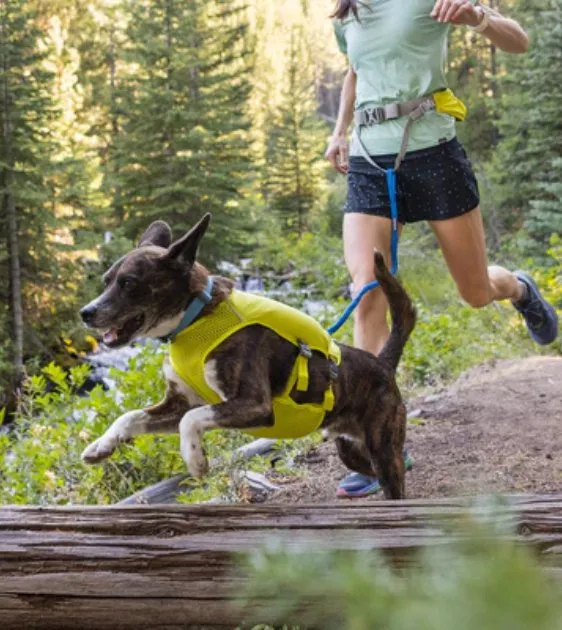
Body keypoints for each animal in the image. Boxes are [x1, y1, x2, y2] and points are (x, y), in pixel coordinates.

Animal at [81, 215, 418, 502]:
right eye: (106, 280)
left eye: (128, 282)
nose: (86, 312)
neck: (195, 319)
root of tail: (382, 364)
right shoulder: (178, 405)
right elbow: (131, 416)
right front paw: (101, 445)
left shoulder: (253, 404)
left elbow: (192, 420)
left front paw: (195, 459)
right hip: (350, 449)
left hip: (382, 446)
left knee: (395, 482)